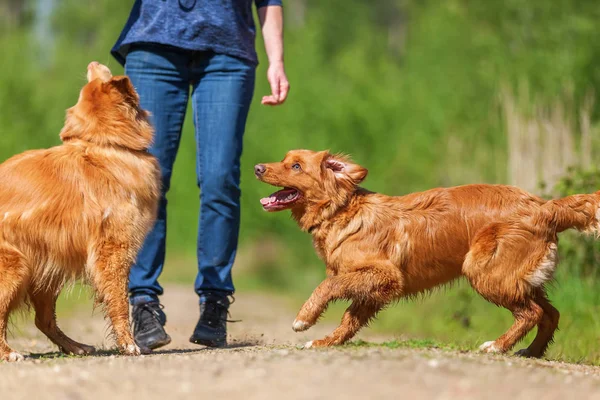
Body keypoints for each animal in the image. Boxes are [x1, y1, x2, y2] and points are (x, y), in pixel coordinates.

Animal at [0, 62, 161, 362]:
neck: (107, 147)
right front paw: (129, 344)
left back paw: (75, 347)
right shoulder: (114, 251)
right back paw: (9, 353)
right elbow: (119, 302)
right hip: (16, 267)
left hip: (46, 271)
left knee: (43, 320)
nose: (93, 64)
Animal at [254, 149, 600, 356]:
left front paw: (304, 319)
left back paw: (497, 346)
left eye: (296, 166)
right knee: (550, 313)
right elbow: (350, 319)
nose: (257, 167)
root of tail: (544, 206)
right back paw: (530, 352)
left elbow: (329, 285)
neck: (342, 212)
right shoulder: (378, 290)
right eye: (285, 159)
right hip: (517, 277)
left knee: (532, 313)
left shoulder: (384, 274)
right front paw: (327, 341)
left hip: (485, 271)